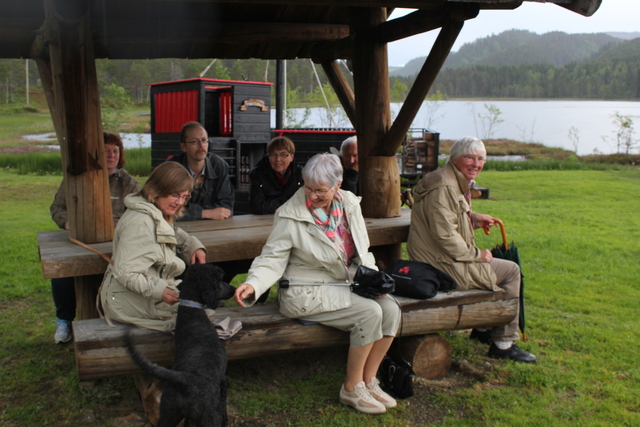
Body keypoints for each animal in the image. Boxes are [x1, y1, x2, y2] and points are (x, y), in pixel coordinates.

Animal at [125, 264, 235, 427]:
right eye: (219, 281)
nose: (234, 289)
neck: (193, 317)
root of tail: (184, 379)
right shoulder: (222, 380)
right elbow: (224, 407)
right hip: (209, 416)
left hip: (169, 412)